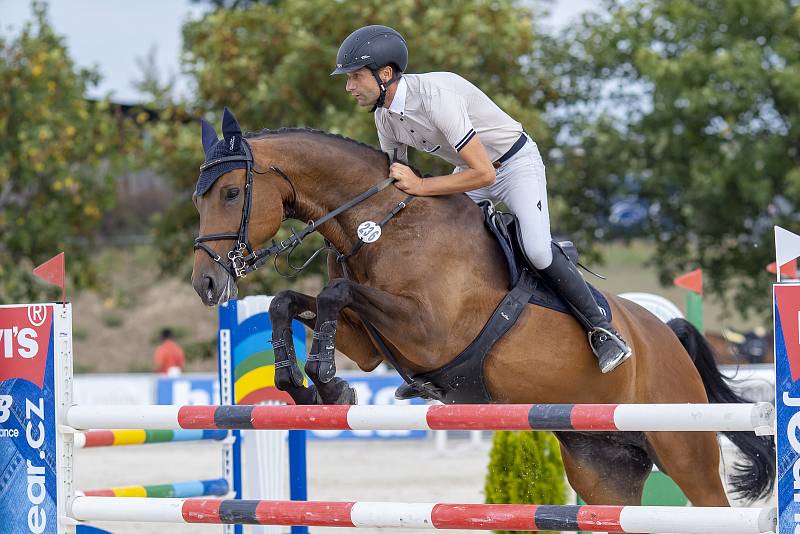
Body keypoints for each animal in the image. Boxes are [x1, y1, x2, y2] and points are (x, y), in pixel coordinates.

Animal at [191, 114, 772, 516]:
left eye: (232, 192)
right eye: (200, 199)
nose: (207, 284)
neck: (382, 225)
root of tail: (667, 334)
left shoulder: (428, 330)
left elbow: (335, 292)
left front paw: (327, 383)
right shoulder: (369, 342)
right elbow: (287, 301)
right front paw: (301, 383)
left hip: (683, 448)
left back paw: (611, 344)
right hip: (605, 464)